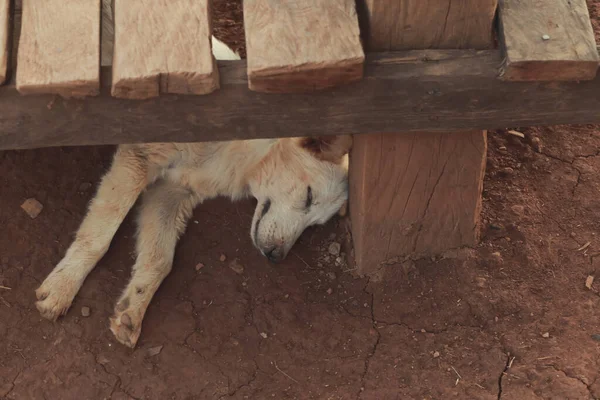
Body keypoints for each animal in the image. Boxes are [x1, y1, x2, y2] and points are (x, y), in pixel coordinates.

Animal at [35, 38, 352, 350]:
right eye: (308, 196)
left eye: (314, 225)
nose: (276, 257)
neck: (232, 147)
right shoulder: (138, 162)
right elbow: (98, 238)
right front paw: (63, 287)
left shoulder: (170, 193)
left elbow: (160, 260)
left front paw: (132, 309)